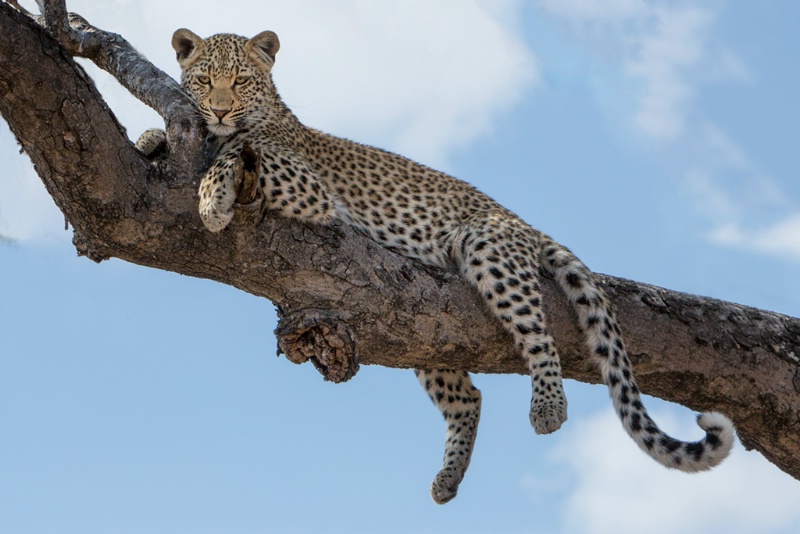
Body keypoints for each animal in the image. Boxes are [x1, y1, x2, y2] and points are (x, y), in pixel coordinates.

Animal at [134, 29, 736, 506]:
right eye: (203, 80)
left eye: (240, 81)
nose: (217, 111)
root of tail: (518, 218)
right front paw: (151, 138)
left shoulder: (306, 185)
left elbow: (231, 156)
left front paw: (211, 199)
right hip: (423, 327)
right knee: (467, 395)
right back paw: (447, 481)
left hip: (487, 247)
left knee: (539, 334)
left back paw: (548, 407)